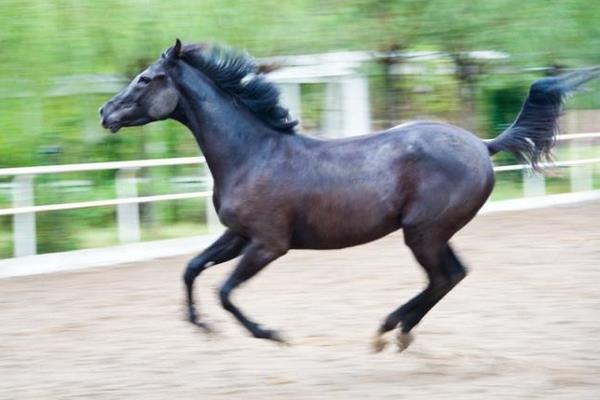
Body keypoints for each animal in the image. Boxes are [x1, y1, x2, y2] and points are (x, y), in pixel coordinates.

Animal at [101, 39, 596, 350]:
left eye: (146, 78)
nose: (106, 112)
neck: (252, 153)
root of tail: (482, 145)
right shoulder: (238, 237)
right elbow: (191, 269)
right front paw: (200, 327)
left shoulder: (268, 244)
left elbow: (224, 290)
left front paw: (271, 334)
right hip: (433, 234)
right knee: (452, 275)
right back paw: (396, 332)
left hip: (423, 233)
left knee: (444, 277)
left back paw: (388, 330)